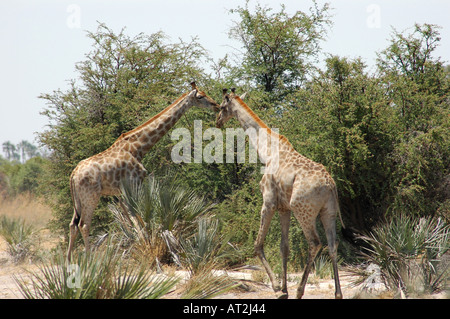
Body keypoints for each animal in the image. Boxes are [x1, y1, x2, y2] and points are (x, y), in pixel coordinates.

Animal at [67, 82, 220, 260]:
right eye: (200, 96)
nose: (216, 105)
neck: (138, 148)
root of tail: (73, 175)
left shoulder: (121, 192)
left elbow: (133, 219)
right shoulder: (134, 183)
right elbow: (139, 218)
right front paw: (146, 247)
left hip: (78, 199)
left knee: (73, 224)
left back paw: (68, 260)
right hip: (91, 196)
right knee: (84, 224)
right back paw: (89, 259)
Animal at [216, 88, 342, 300]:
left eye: (222, 106)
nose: (217, 121)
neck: (266, 152)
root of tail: (330, 185)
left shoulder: (269, 202)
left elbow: (258, 244)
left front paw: (277, 288)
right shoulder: (284, 208)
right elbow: (284, 247)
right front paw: (284, 288)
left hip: (303, 210)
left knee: (315, 243)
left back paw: (300, 290)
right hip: (328, 212)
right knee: (333, 246)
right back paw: (338, 293)